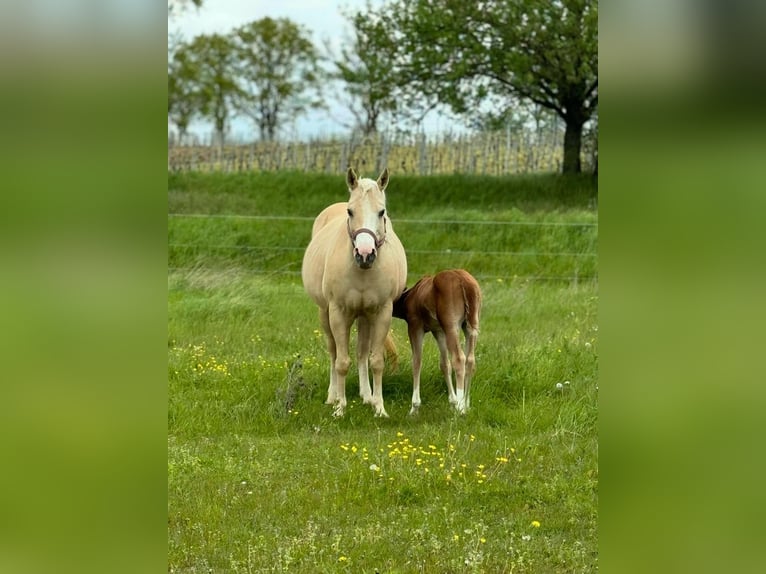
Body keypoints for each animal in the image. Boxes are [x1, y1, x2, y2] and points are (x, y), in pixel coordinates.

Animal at [301, 167, 407, 417]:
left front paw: (379, 407)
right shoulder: (338, 313)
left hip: (364, 316)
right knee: (333, 352)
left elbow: (375, 360)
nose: (365, 253)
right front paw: (340, 408)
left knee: (361, 352)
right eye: (350, 212)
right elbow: (341, 361)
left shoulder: (381, 313)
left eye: (382, 212)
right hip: (325, 313)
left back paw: (366, 396)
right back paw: (332, 396)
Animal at [392, 269, 482, 415]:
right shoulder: (438, 331)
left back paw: (460, 409)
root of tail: (465, 283)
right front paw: (452, 402)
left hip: (451, 326)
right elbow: (444, 364)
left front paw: (414, 408)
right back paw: (466, 404)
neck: (408, 297)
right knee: (470, 360)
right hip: (471, 326)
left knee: (459, 358)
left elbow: (416, 362)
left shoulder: (415, 326)